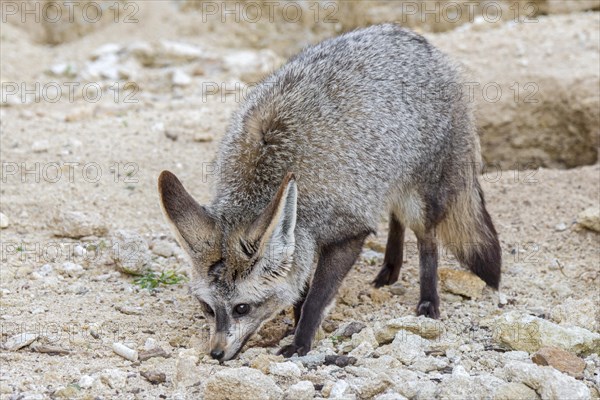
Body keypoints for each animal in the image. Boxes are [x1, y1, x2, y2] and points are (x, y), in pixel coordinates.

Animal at [157, 23, 500, 360]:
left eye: (242, 308)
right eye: (207, 308)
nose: (215, 353)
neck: (264, 178)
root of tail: (416, 38)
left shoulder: (349, 233)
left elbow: (316, 297)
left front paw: (301, 340)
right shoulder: (307, 239)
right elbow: (301, 289)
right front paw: (295, 323)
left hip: (419, 199)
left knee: (427, 241)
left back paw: (428, 300)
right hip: (386, 181)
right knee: (395, 218)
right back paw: (390, 268)